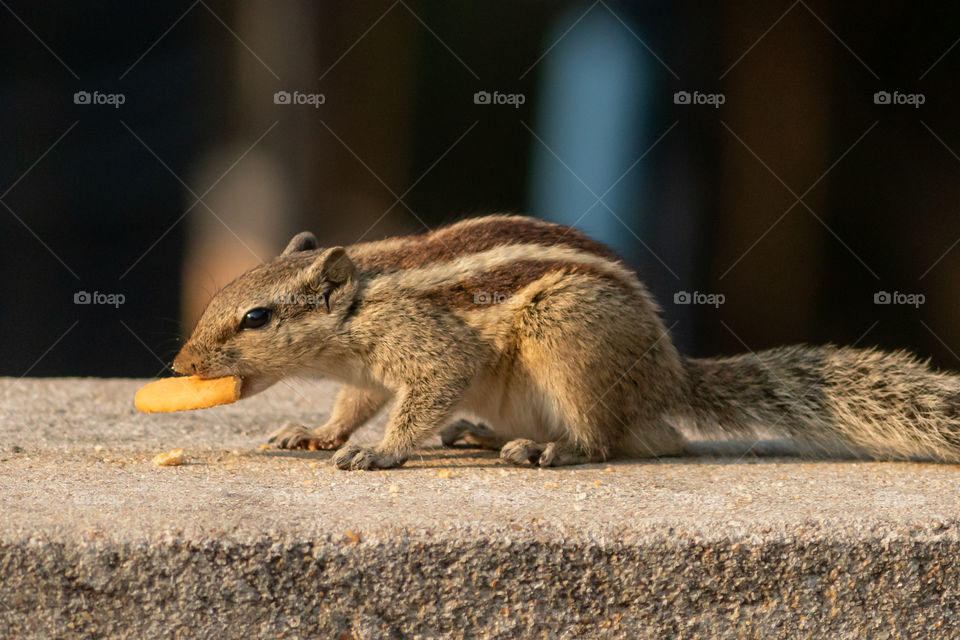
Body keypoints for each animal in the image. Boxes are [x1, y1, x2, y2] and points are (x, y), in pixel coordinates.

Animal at [172, 215, 960, 470]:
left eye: (255, 318)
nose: (181, 364)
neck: (361, 305)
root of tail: (671, 376)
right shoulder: (365, 375)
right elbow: (351, 406)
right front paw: (312, 433)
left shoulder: (424, 345)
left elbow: (426, 390)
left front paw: (382, 453)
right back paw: (485, 435)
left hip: (567, 331)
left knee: (612, 442)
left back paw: (554, 450)